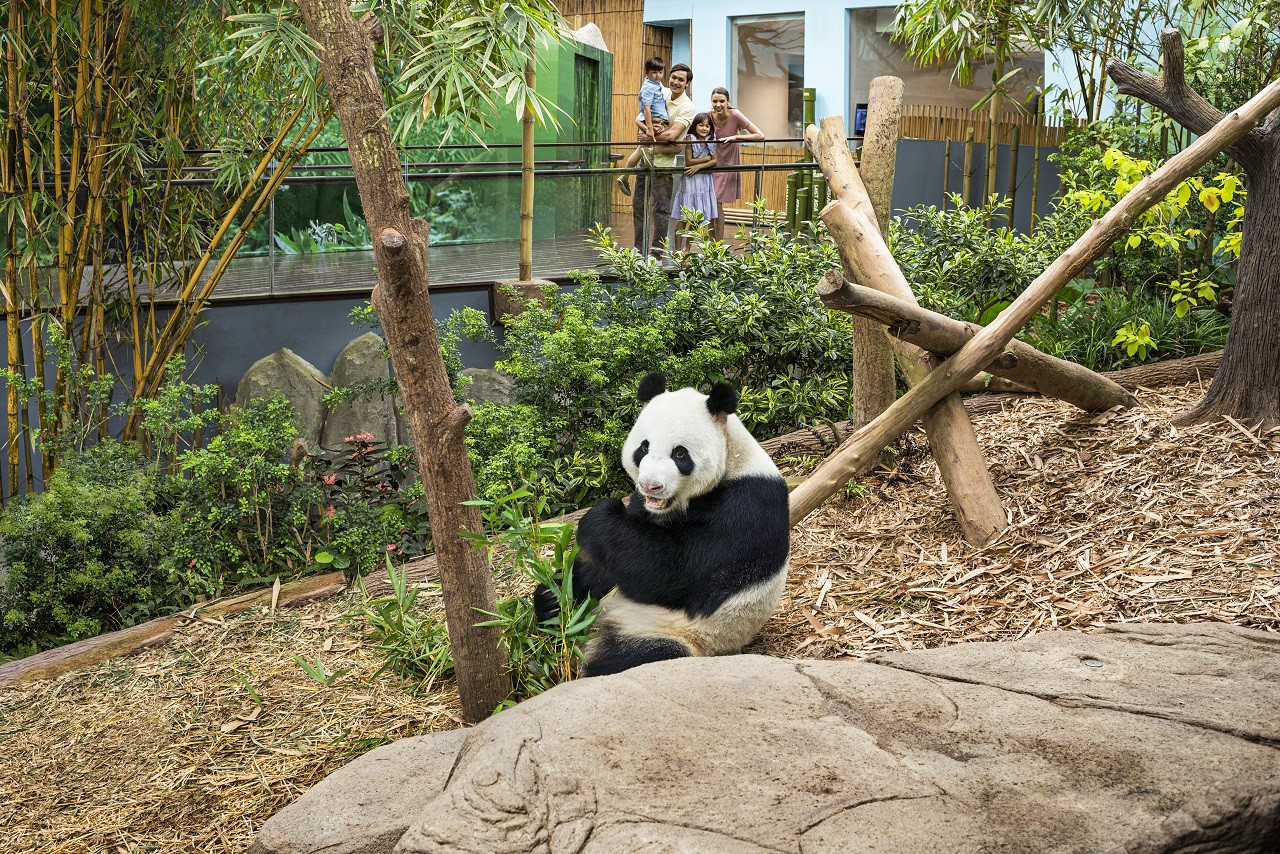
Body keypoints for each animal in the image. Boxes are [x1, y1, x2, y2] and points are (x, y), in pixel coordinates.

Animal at [529, 371, 788, 676]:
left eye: (680, 454)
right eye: (644, 447)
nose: (650, 486)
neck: (733, 459)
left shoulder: (747, 506)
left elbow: (674, 571)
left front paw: (600, 516)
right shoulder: (643, 508)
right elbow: (612, 562)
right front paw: (554, 596)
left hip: (675, 632)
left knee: (630, 658)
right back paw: (550, 604)